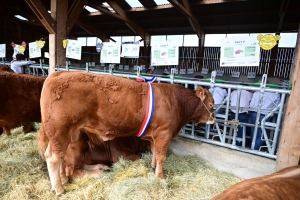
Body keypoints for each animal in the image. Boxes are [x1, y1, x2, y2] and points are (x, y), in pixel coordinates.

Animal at [40, 71, 216, 195]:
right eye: (212, 105)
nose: (213, 120)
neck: (176, 102)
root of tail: (58, 74)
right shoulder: (164, 133)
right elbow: (161, 156)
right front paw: (160, 176)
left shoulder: (154, 135)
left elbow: (154, 151)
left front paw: (152, 167)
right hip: (60, 131)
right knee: (55, 159)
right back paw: (60, 188)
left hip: (69, 135)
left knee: (62, 158)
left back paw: (74, 177)